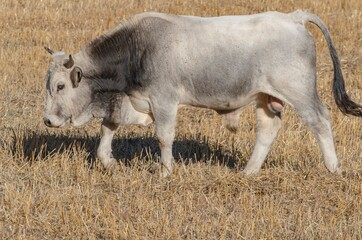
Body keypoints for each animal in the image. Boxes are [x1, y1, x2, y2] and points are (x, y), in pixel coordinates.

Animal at [43, 10, 362, 176]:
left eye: (60, 86)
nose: (47, 120)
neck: (138, 48)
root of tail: (294, 17)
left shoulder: (164, 101)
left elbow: (164, 137)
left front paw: (165, 171)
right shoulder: (129, 102)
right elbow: (108, 127)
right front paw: (108, 161)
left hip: (300, 93)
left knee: (320, 121)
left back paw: (334, 168)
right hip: (265, 98)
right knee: (268, 129)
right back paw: (248, 172)